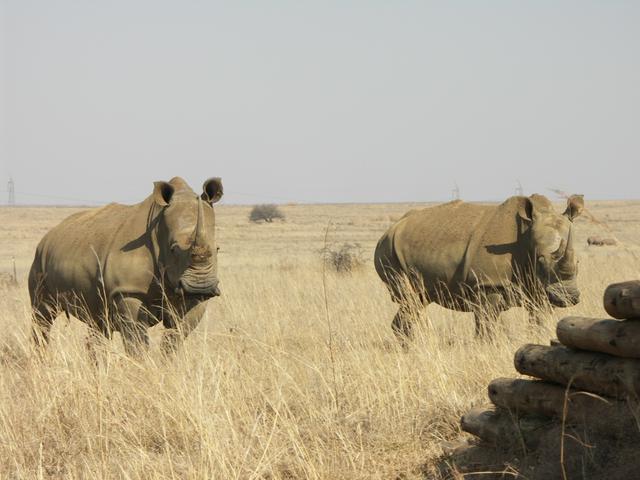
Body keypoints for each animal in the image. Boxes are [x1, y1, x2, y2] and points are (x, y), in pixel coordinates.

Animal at [29, 177, 225, 356]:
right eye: (173, 249)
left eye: (217, 249)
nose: (201, 286)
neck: (159, 229)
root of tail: (48, 236)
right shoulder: (128, 290)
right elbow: (137, 342)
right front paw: (142, 368)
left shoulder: (192, 297)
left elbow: (175, 336)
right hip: (39, 261)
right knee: (43, 315)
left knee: (98, 323)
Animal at [376, 193, 584, 340]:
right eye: (540, 260)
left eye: (578, 262)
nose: (568, 297)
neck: (527, 236)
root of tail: (391, 229)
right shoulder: (488, 284)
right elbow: (487, 327)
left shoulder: (539, 290)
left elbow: (539, 321)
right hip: (388, 252)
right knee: (410, 301)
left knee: (417, 302)